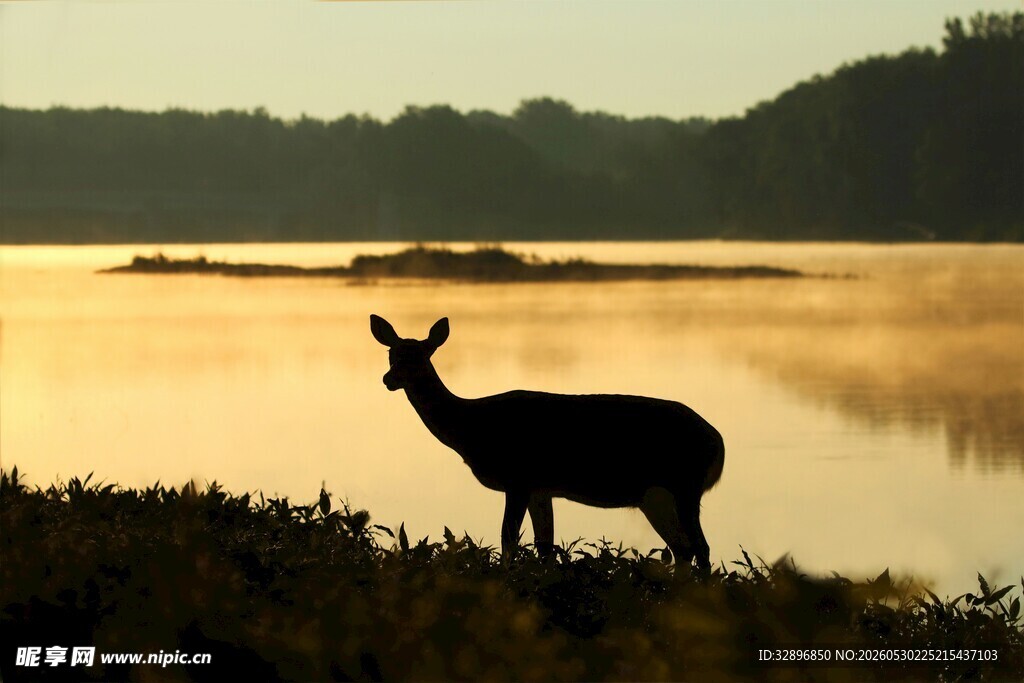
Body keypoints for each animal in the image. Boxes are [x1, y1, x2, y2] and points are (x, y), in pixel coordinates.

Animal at [370, 314, 725, 571]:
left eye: (420, 356)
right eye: (391, 354)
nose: (388, 379)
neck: (473, 427)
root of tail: (718, 444)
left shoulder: (518, 477)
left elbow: (508, 540)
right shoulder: (541, 487)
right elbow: (545, 548)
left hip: (685, 484)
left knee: (701, 548)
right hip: (655, 496)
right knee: (683, 549)